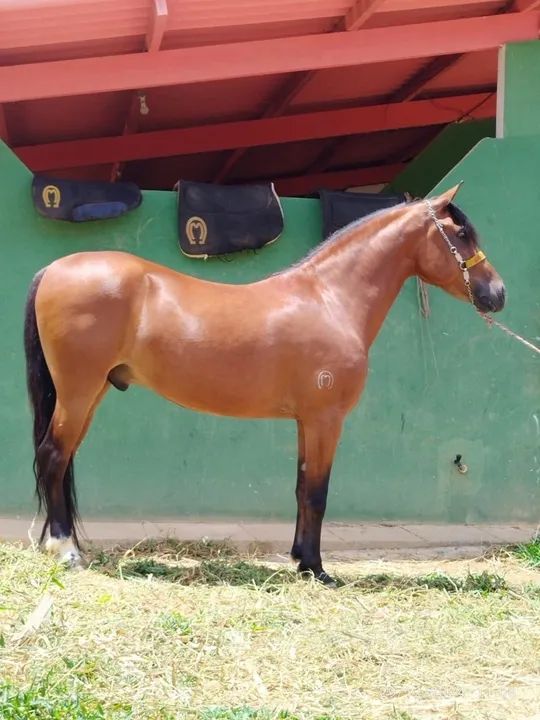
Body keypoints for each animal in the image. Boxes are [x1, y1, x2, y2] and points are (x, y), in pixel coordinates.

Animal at [23, 184, 505, 584]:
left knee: (62, 460)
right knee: (53, 457)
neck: (330, 299)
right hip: (78, 392)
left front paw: (300, 559)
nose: (497, 294)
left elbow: (301, 487)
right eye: (462, 233)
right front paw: (317, 569)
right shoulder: (326, 420)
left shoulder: (306, 421)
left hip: (90, 393)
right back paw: (65, 551)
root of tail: (53, 268)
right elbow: (318, 493)